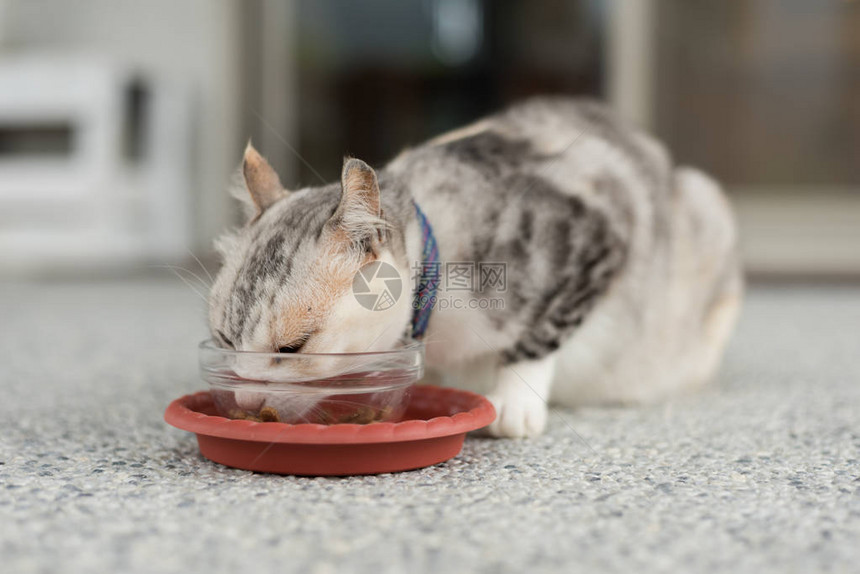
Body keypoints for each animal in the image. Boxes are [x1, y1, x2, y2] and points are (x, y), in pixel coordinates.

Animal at [207, 99, 740, 438]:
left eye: (292, 348)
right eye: (225, 340)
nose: (247, 404)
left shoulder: (597, 234)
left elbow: (540, 336)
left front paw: (514, 402)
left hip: (705, 210)